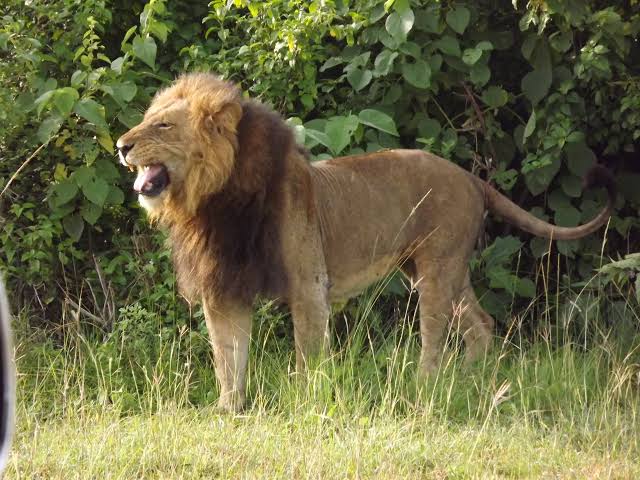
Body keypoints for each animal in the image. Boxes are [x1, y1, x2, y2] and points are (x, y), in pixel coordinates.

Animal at [116, 73, 615, 412]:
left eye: (162, 126)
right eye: (146, 121)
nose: (120, 146)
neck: (210, 200)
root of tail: (470, 177)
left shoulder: (307, 283)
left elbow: (308, 353)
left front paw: (305, 401)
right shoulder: (225, 289)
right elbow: (228, 356)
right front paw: (228, 409)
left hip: (437, 270)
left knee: (435, 335)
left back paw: (425, 385)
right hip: (441, 271)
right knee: (481, 323)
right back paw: (469, 379)